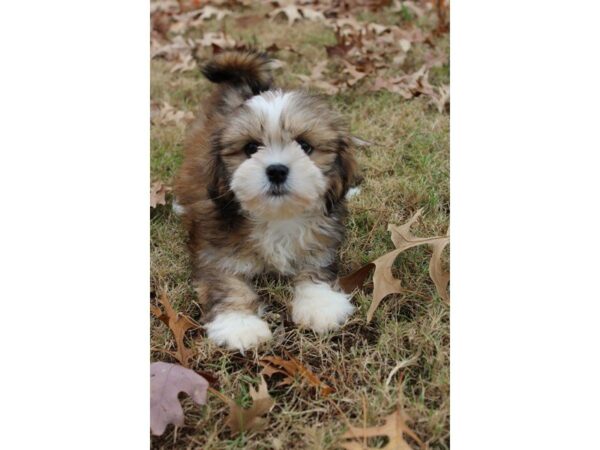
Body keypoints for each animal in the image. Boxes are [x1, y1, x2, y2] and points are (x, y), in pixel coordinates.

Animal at [173, 50, 360, 352]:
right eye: (250, 148)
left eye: (305, 146)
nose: (276, 170)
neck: (276, 216)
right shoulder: (215, 251)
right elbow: (227, 283)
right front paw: (239, 324)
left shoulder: (320, 241)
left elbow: (315, 268)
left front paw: (320, 304)